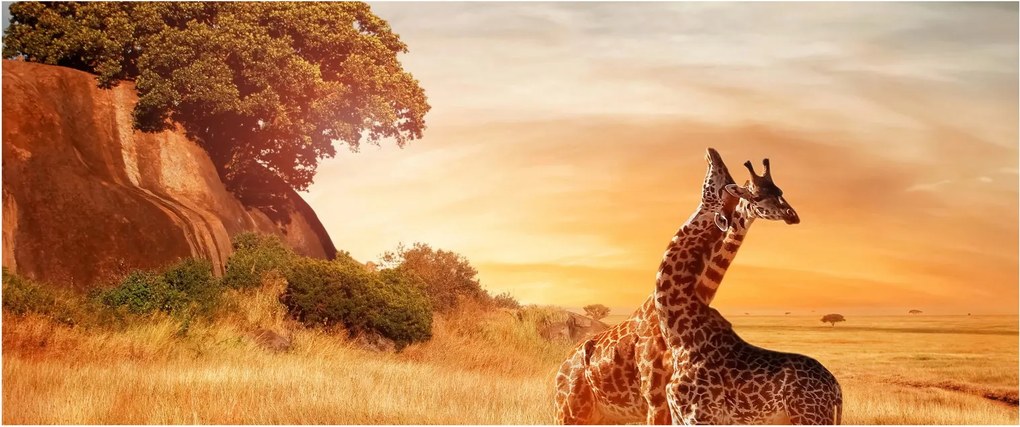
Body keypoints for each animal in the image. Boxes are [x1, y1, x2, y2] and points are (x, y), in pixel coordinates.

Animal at [553, 148, 797, 424]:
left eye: (779, 190)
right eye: (754, 192)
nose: (713, 153)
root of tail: (561, 369)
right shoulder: (656, 396)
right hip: (570, 411)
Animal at [654, 157, 842, 424]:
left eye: (779, 192)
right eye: (758, 195)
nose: (792, 215)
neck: (680, 338)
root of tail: (836, 388)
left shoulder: (700, 415)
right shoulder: (679, 416)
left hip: (809, 416)